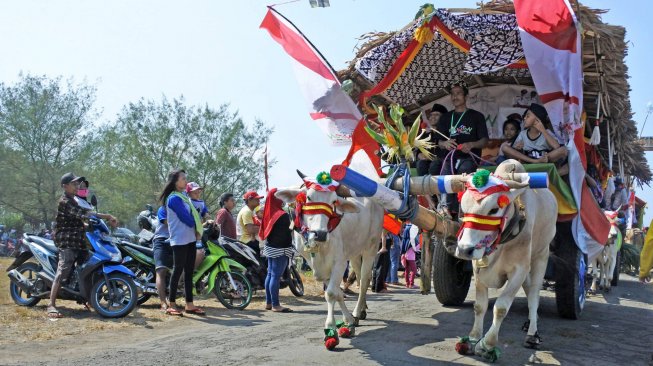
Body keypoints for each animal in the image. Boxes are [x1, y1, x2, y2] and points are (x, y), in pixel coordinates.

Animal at [274, 172, 382, 348]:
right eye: (309, 197)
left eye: (333, 201)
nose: (320, 233)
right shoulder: (316, 266)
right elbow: (337, 292)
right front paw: (348, 320)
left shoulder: (339, 262)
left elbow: (331, 293)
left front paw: (331, 330)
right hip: (354, 252)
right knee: (359, 278)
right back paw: (362, 310)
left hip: (370, 247)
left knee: (365, 280)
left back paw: (357, 311)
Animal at [454, 161, 556, 364]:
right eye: (463, 207)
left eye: (493, 209)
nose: (464, 250)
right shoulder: (478, 268)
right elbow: (479, 306)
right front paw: (472, 339)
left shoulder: (519, 270)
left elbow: (501, 308)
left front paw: (487, 345)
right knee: (529, 291)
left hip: (541, 256)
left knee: (534, 296)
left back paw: (532, 333)